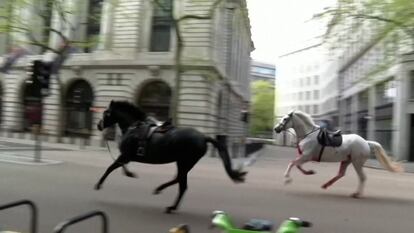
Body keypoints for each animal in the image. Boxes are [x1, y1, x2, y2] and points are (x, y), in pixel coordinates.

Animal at [94, 100, 246, 213]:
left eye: (106, 113)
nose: (98, 125)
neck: (134, 127)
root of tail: (203, 137)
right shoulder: (127, 157)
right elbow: (118, 167)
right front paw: (129, 173)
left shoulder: (125, 155)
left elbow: (111, 167)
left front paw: (99, 184)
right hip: (184, 163)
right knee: (180, 181)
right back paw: (167, 199)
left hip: (184, 162)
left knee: (181, 183)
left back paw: (166, 199)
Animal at [274, 110, 402, 198]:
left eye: (285, 119)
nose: (276, 129)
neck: (308, 134)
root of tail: (366, 142)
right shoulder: (304, 157)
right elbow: (298, 165)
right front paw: (310, 172)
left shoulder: (306, 156)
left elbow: (292, 164)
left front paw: (287, 179)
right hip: (346, 160)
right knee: (341, 174)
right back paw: (326, 185)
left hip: (357, 162)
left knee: (362, 177)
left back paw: (356, 194)